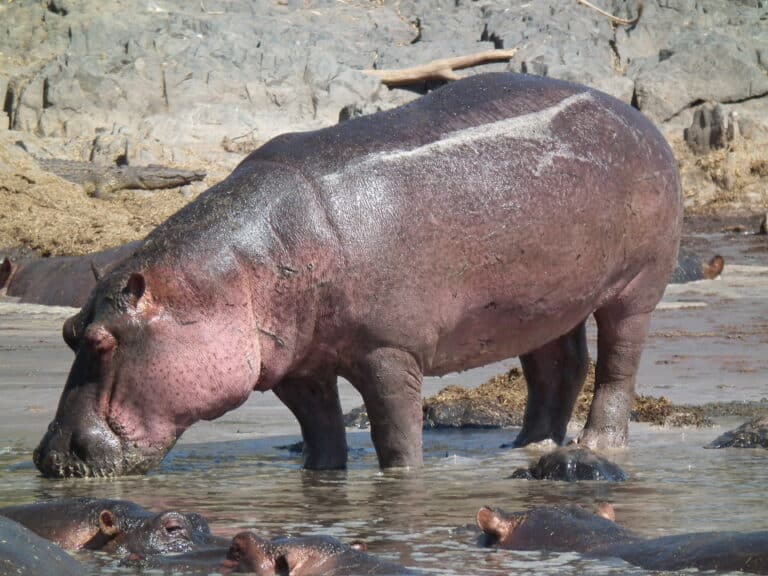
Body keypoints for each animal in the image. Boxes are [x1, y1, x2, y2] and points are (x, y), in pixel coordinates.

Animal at [34, 72, 682, 477]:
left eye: (103, 341)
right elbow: (321, 429)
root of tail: (636, 116)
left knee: (617, 367)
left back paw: (597, 445)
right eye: (68, 332)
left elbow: (394, 434)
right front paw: (321, 479)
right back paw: (526, 445)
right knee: (558, 367)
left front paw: (402, 480)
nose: (47, 456)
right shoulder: (294, 364)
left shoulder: (389, 351)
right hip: (544, 301)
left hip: (636, 288)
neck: (234, 274)